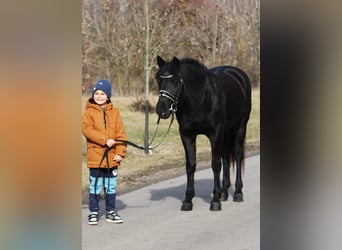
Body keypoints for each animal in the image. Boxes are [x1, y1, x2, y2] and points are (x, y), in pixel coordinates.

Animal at [156, 55, 251, 210]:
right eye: (158, 79)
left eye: (175, 80)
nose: (162, 110)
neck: (200, 98)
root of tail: (238, 74)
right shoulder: (187, 135)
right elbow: (190, 165)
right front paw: (188, 200)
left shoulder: (215, 133)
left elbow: (215, 164)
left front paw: (215, 201)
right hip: (226, 131)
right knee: (226, 156)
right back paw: (224, 193)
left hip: (240, 127)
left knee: (237, 155)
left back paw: (237, 193)